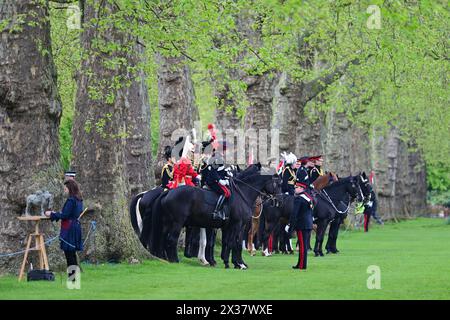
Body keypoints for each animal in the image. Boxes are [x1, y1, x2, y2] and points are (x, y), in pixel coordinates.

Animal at [149, 169, 282, 268]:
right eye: (277, 184)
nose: (279, 200)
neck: (242, 195)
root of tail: (169, 192)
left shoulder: (233, 226)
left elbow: (232, 243)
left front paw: (238, 263)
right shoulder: (237, 225)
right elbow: (233, 243)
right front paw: (232, 263)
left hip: (167, 222)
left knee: (162, 238)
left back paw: (164, 258)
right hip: (177, 223)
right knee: (171, 239)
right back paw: (175, 260)